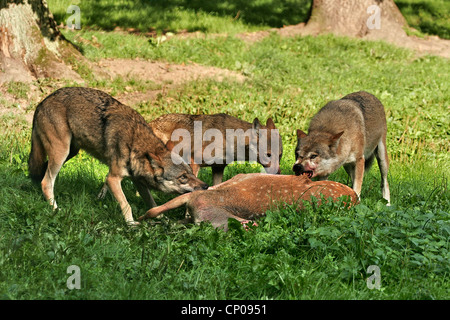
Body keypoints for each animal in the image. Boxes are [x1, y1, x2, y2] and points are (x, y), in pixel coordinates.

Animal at [149, 113, 284, 185]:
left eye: (280, 156)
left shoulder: (218, 168)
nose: (278, 174)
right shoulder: (194, 162)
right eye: (268, 155)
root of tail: (151, 122)